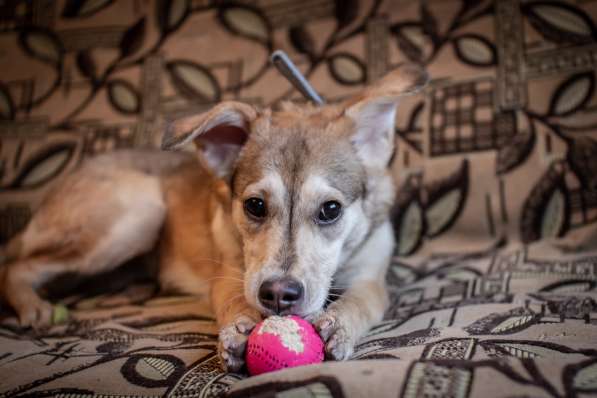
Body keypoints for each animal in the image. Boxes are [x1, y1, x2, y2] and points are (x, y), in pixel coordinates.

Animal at [0, 63, 428, 372]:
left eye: (331, 210)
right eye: (254, 206)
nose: (277, 295)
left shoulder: (373, 275)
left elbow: (362, 302)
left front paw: (340, 323)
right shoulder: (228, 274)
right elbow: (232, 298)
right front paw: (237, 327)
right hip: (138, 211)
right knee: (18, 265)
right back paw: (32, 305)